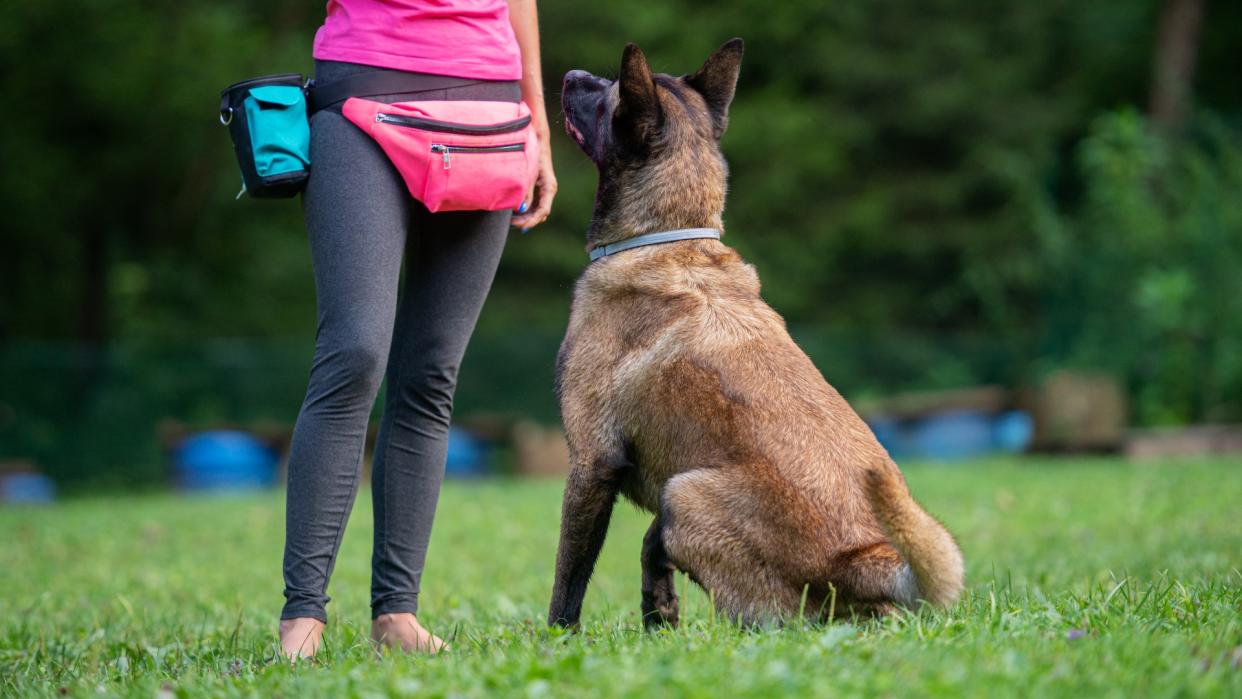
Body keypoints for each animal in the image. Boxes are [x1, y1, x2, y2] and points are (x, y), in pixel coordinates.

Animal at [548, 38, 963, 628]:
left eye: (608, 95)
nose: (571, 73)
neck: (668, 237)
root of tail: (864, 559)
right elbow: (650, 552)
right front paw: (659, 617)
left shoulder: (591, 463)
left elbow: (569, 580)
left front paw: (556, 640)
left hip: (686, 492)